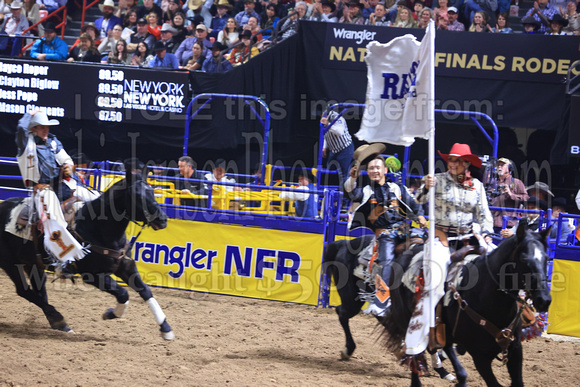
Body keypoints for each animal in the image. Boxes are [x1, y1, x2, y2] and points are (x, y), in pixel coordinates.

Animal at [0, 171, 174, 342]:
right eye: (137, 195)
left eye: (152, 192)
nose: (163, 220)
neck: (96, 227)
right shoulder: (93, 275)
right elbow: (123, 294)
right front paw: (111, 313)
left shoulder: (126, 267)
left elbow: (145, 291)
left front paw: (165, 328)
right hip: (10, 263)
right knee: (23, 290)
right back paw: (58, 318)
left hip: (33, 263)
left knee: (39, 291)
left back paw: (57, 321)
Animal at [380, 223, 552, 386]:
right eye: (524, 258)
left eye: (546, 258)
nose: (544, 299)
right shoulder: (480, 357)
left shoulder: (515, 350)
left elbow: (518, 382)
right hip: (406, 321)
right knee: (414, 353)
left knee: (445, 346)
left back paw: (455, 375)